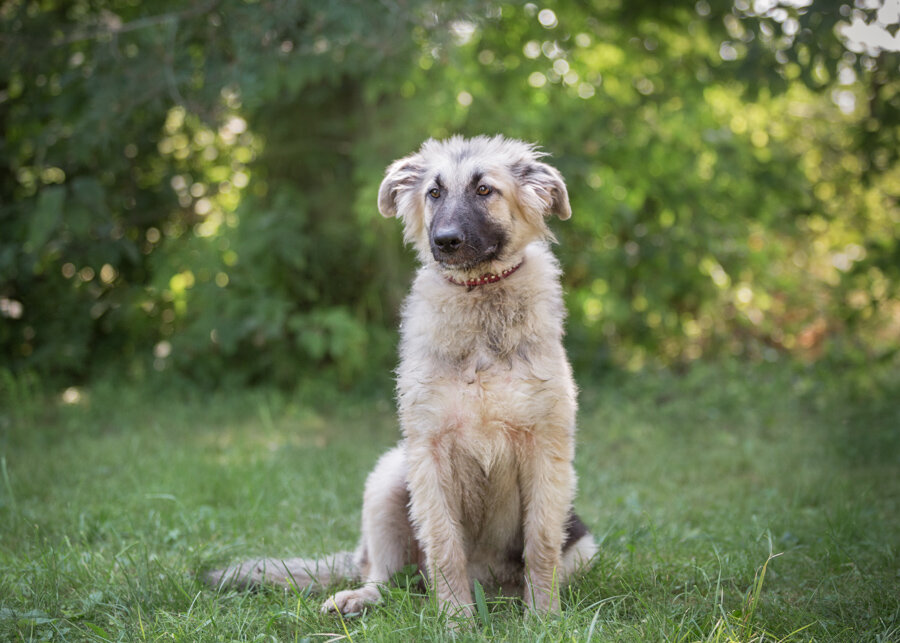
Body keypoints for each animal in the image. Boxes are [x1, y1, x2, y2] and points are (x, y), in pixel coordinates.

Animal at [207, 135, 596, 620]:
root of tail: (490, 588)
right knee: (387, 577)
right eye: (434, 193)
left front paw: (544, 620)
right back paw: (359, 598)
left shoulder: (546, 449)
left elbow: (540, 546)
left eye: (484, 190)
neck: (479, 297)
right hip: (389, 476)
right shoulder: (429, 452)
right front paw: (456, 622)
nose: (444, 242)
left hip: (582, 546)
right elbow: (444, 547)